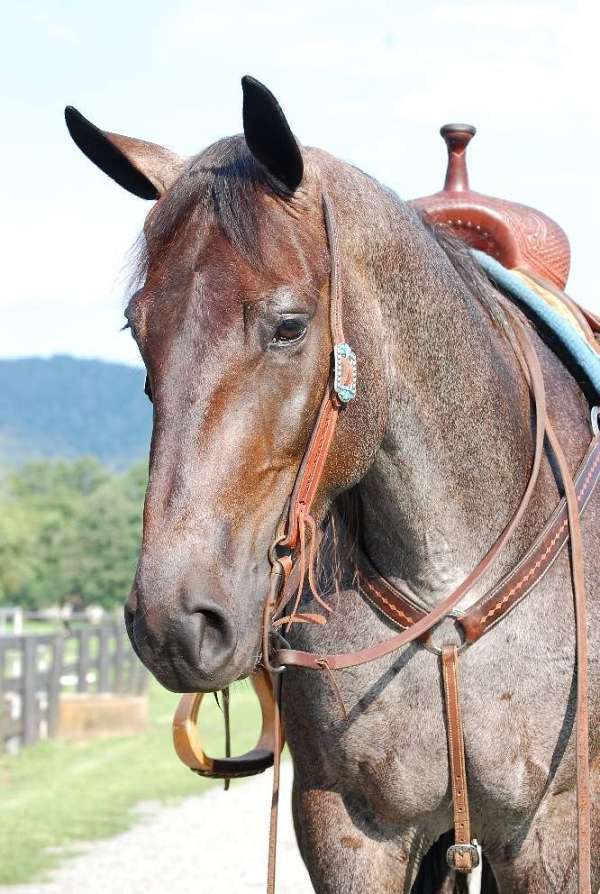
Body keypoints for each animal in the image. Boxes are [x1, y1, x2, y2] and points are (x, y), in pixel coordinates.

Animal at [65, 77, 599, 893]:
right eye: (137, 329)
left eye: (289, 324)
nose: (173, 622)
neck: (448, 585)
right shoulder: (349, 827)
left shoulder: (555, 830)